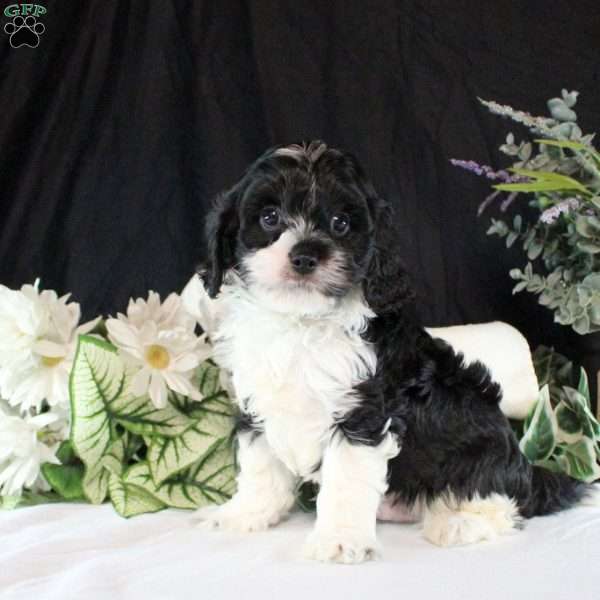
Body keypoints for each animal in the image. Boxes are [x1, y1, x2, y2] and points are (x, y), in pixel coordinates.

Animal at [198, 141, 596, 564]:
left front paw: (339, 540)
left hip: (480, 453)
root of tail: (528, 469)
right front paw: (243, 514)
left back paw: (457, 523)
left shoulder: (364, 416)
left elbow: (345, 483)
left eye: (341, 223)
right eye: (269, 217)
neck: (301, 321)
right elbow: (260, 469)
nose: (305, 256)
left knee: (500, 501)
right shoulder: (256, 403)